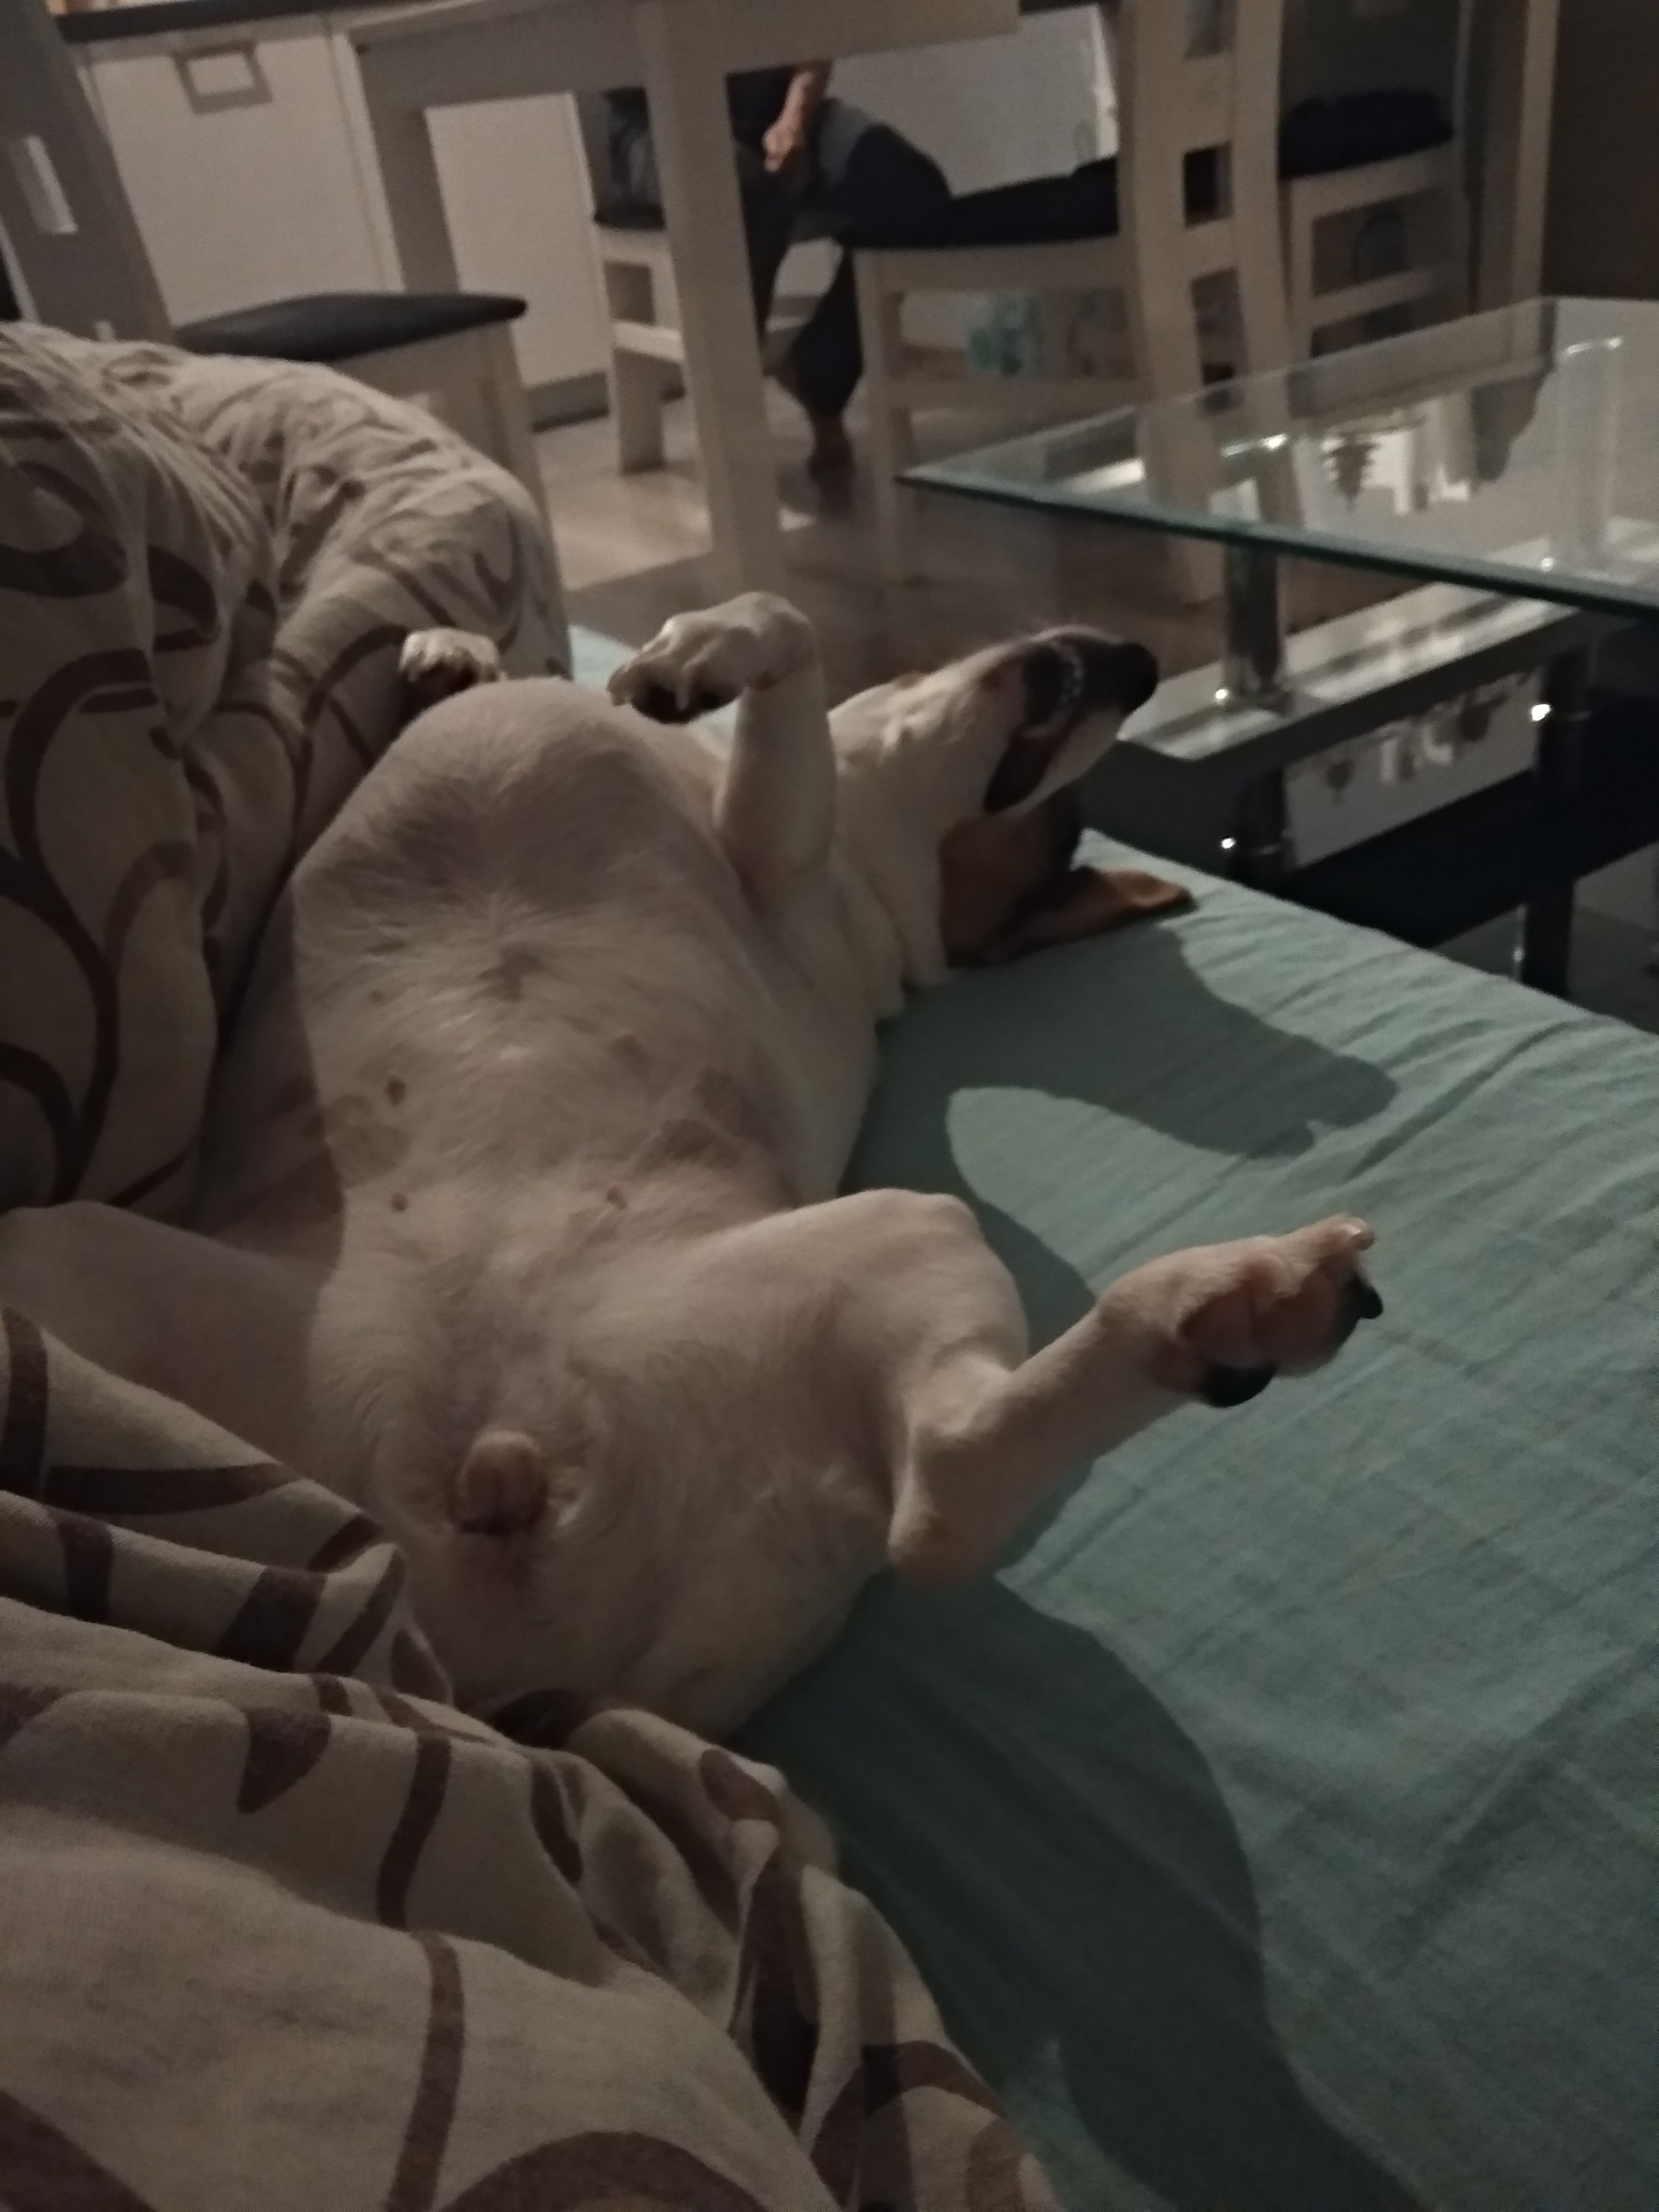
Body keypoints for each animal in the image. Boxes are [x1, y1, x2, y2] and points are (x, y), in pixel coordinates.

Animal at [0, 595, 1379, 1733]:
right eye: (1052, 824)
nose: (1139, 660)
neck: (877, 846)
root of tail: (500, 1485)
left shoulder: (779, 849)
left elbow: (784, 617)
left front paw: (682, 659)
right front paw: (452, 653)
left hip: (908, 1226)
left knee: (947, 1501)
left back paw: (1237, 1303)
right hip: (78, 1262)